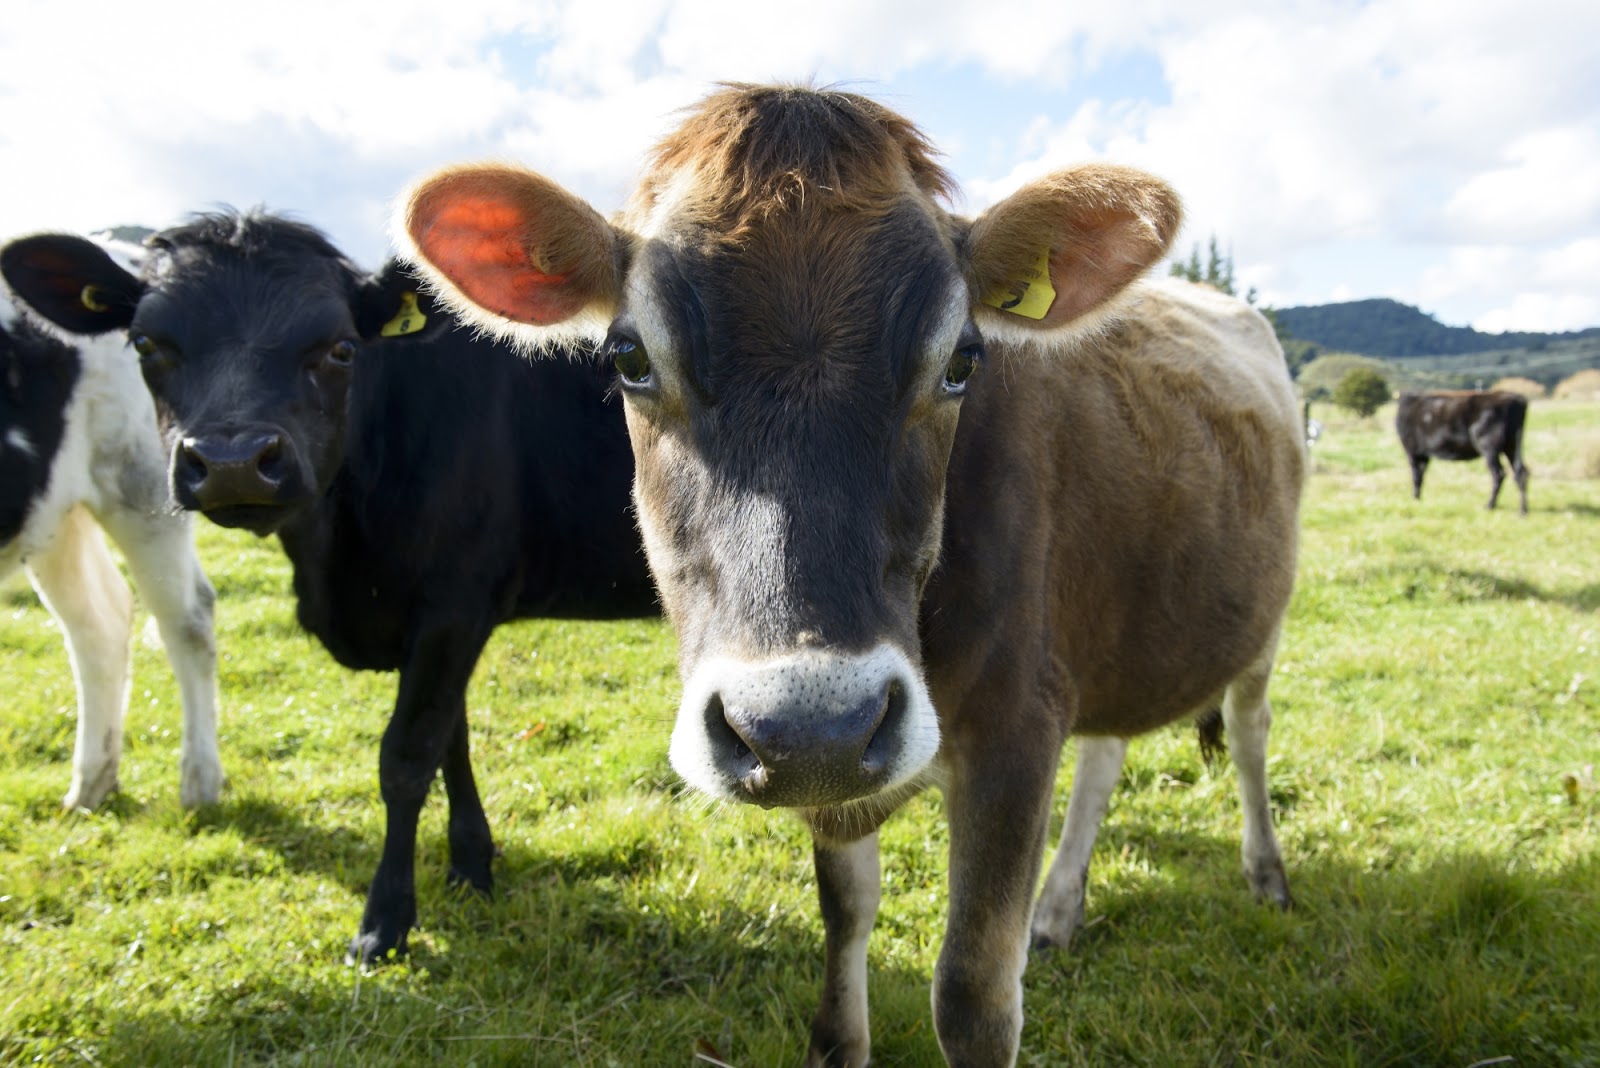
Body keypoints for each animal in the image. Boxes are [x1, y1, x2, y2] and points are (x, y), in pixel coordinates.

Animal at [1, 275, 221, 811]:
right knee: (98, 622)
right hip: (53, 514)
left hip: (144, 487)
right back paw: (91, 785)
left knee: (189, 620)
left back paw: (199, 783)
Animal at [398, 84, 1306, 1066]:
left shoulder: (1018, 726)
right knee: (1107, 756)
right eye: (629, 358)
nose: (809, 727)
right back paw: (1061, 908)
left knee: (1248, 734)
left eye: (962, 360)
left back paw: (1266, 873)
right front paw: (843, 1034)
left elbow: (974, 995)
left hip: (1263, 622)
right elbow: (846, 914)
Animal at [1395, 389, 1529, 514]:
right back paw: (1522, 511)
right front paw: (1418, 499)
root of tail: (1516, 398)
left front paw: (1414, 499)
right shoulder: (1423, 454)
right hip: (1511, 445)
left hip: (1489, 447)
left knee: (1498, 474)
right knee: (1520, 472)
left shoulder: (1412, 451)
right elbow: (1421, 476)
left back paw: (1490, 505)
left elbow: (1416, 476)